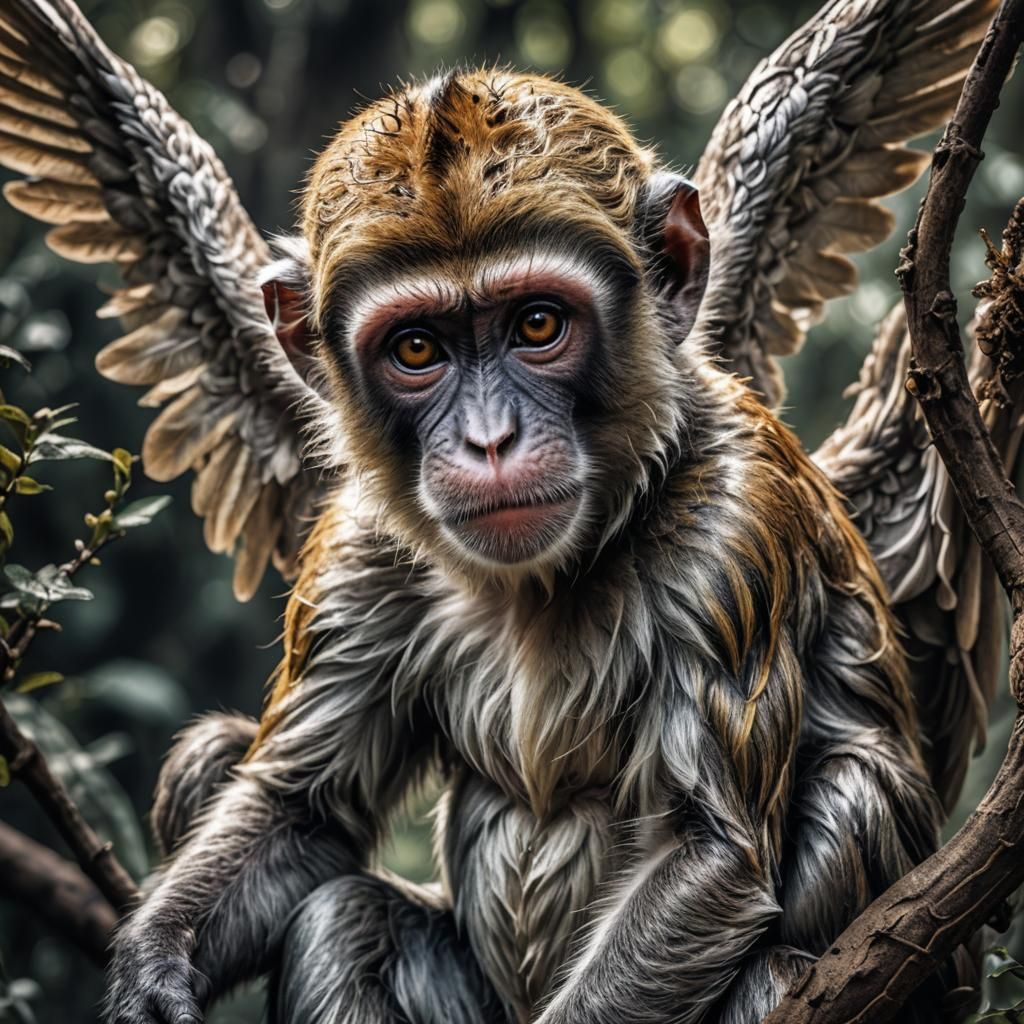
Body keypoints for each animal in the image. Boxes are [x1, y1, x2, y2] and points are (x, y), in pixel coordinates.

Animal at [96, 70, 947, 1024]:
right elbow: (304, 810)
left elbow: (708, 850)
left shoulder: (733, 533)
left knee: (845, 801)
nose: (489, 439)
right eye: (417, 348)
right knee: (340, 919)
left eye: (538, 325)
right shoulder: (360, 555)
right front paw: (152, 967)